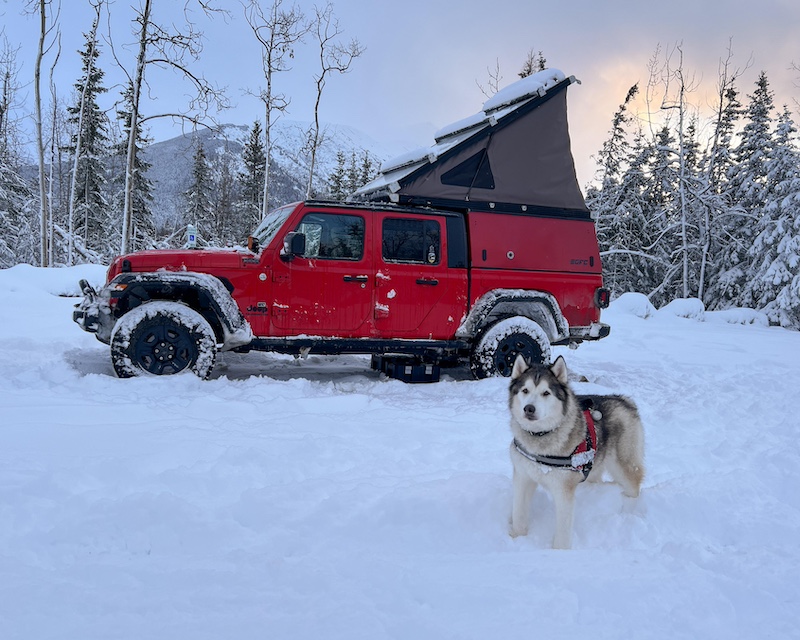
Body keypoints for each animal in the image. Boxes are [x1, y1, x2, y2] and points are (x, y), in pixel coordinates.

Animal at [510, 356, 648, 552]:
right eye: (525, 390)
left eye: (546, 393)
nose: (529, 408)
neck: (541, 437)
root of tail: (624, 399)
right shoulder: (523, 476)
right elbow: (519, 513)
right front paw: (516, 537)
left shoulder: (563, 489)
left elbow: (563, 530)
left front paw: (559, 553)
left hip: (624, 465)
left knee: (633, 486)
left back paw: (630, 510)